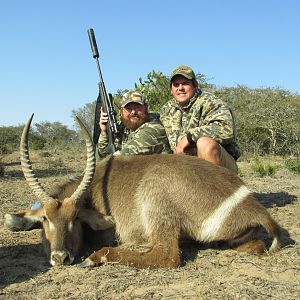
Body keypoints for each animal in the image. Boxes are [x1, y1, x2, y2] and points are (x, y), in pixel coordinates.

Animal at [4, 114, 282, 268]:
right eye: (45, 219)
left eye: (75, 218)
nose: (60, 257)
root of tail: (254, 207)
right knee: (256, 246)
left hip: (154, 198)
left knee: (167, 257)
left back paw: (96, 257)